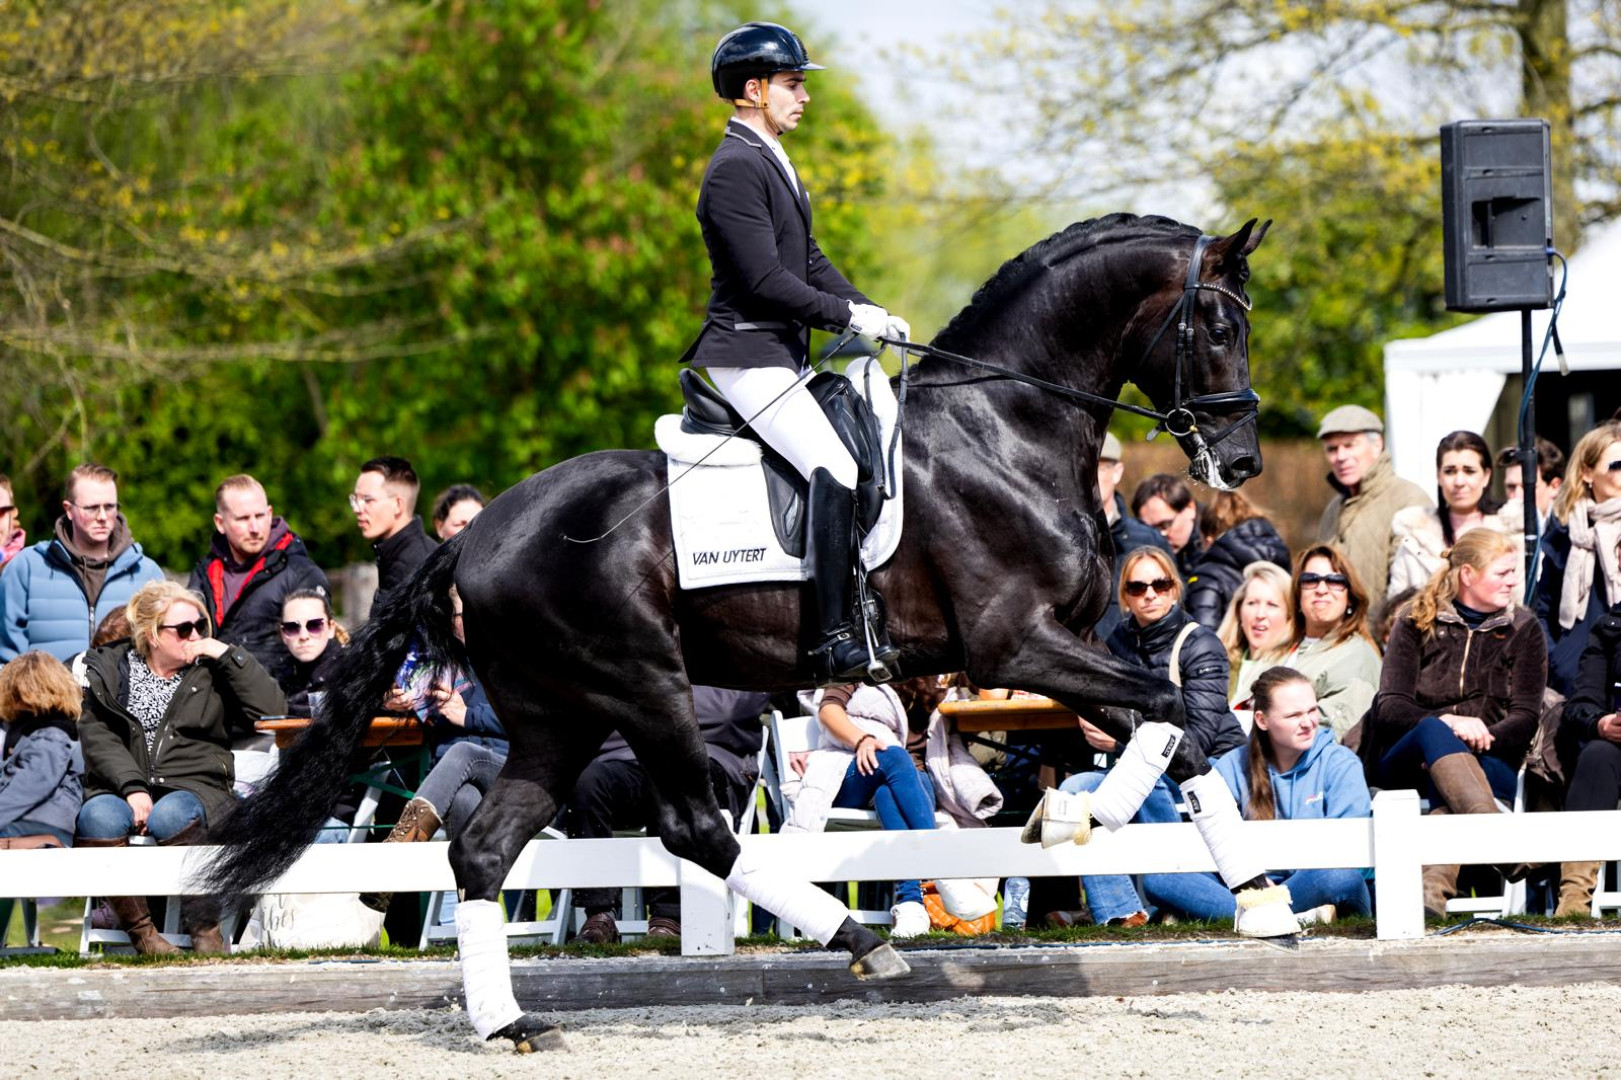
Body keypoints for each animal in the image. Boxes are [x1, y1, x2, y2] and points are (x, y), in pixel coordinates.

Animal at [204, 212, 1271, 1052]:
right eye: (1217, 324)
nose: (1241, 461)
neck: (1000, 432)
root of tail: (475, 537)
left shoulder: (1057, 651)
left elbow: (1174, 724)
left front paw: (1247, 890)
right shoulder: (1015, 644)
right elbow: (1165, 708)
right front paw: (1081, 822)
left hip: (558, 715)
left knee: (484, 849)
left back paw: (506, 1023)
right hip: (640, 684)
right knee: (690, 825)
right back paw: (859, 942)